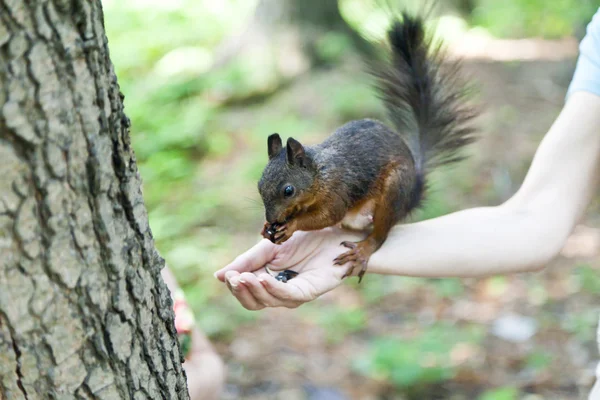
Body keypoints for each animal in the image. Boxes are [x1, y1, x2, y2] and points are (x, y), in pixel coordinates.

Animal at [258, 11, 478, 282]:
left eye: (288, 190)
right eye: (259, 186)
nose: (271, 218)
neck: (320, 173)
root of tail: (412, 192)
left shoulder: (338, 190)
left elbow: (327, 216)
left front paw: (291, 225)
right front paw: (268, 227)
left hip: (394, 190)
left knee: (380, 234)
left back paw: (363, 250)